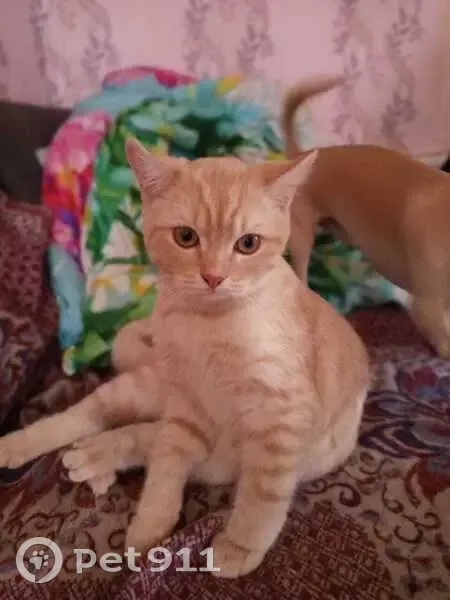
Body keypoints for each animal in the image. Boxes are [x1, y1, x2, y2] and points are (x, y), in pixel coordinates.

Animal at [0, 139, 370, 578]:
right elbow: (165, 468)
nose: (213, 277)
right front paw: (151, 530)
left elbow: (262, 496)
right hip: (145, 389)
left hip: (226, 458)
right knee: (92, 417)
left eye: (248, 244)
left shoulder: (280, 418)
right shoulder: (187, 409)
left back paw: (95, 456)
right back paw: (24, 444)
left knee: (143, 435)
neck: (207, 324)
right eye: (185, 237)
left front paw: (239, 546)